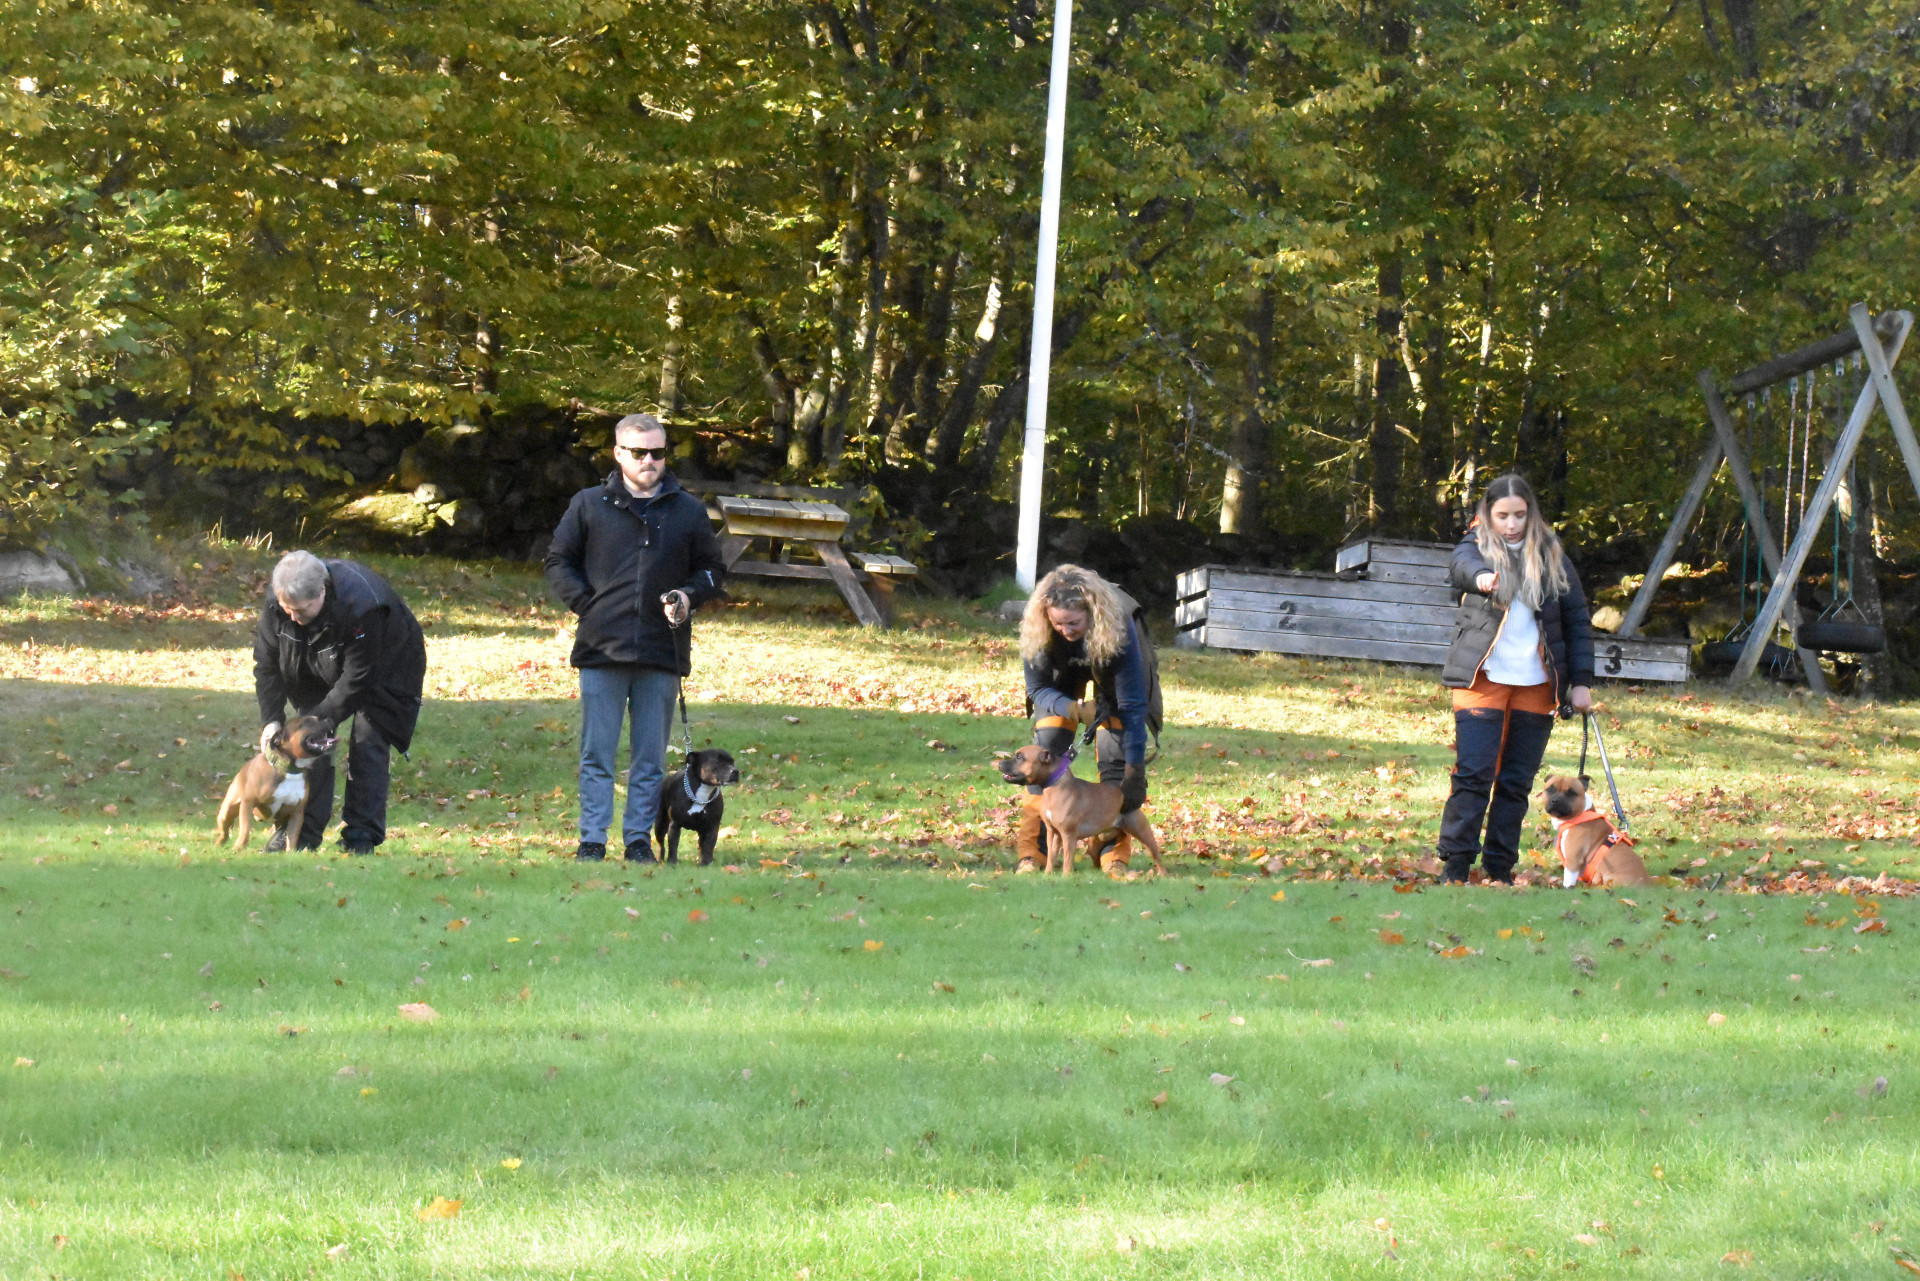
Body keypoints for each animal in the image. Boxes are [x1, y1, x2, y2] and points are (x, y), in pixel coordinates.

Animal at [213, 715, 338, 849]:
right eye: (306, 722)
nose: (328, 720)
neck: (289, 770)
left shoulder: (296, 813)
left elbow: (292, 838)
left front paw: (291, 852)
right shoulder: (248, 802)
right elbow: (245, 829)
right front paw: (239, 847)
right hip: (227, 811)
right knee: (225, 831)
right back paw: (219, 844)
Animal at [996, 745, 1168, 876]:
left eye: (1020, 757)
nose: (1000, 763)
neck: (1054, 787)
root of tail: (1122, 791)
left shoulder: (1068, 835)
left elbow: (1067, 856)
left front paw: (1066, 876)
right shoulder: (1053, 833)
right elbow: (1051, 855)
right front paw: (1048, 874)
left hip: (1142, 832)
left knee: (1155, 854)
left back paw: (1163, 873)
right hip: (1098, 839)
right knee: (1095, 855)